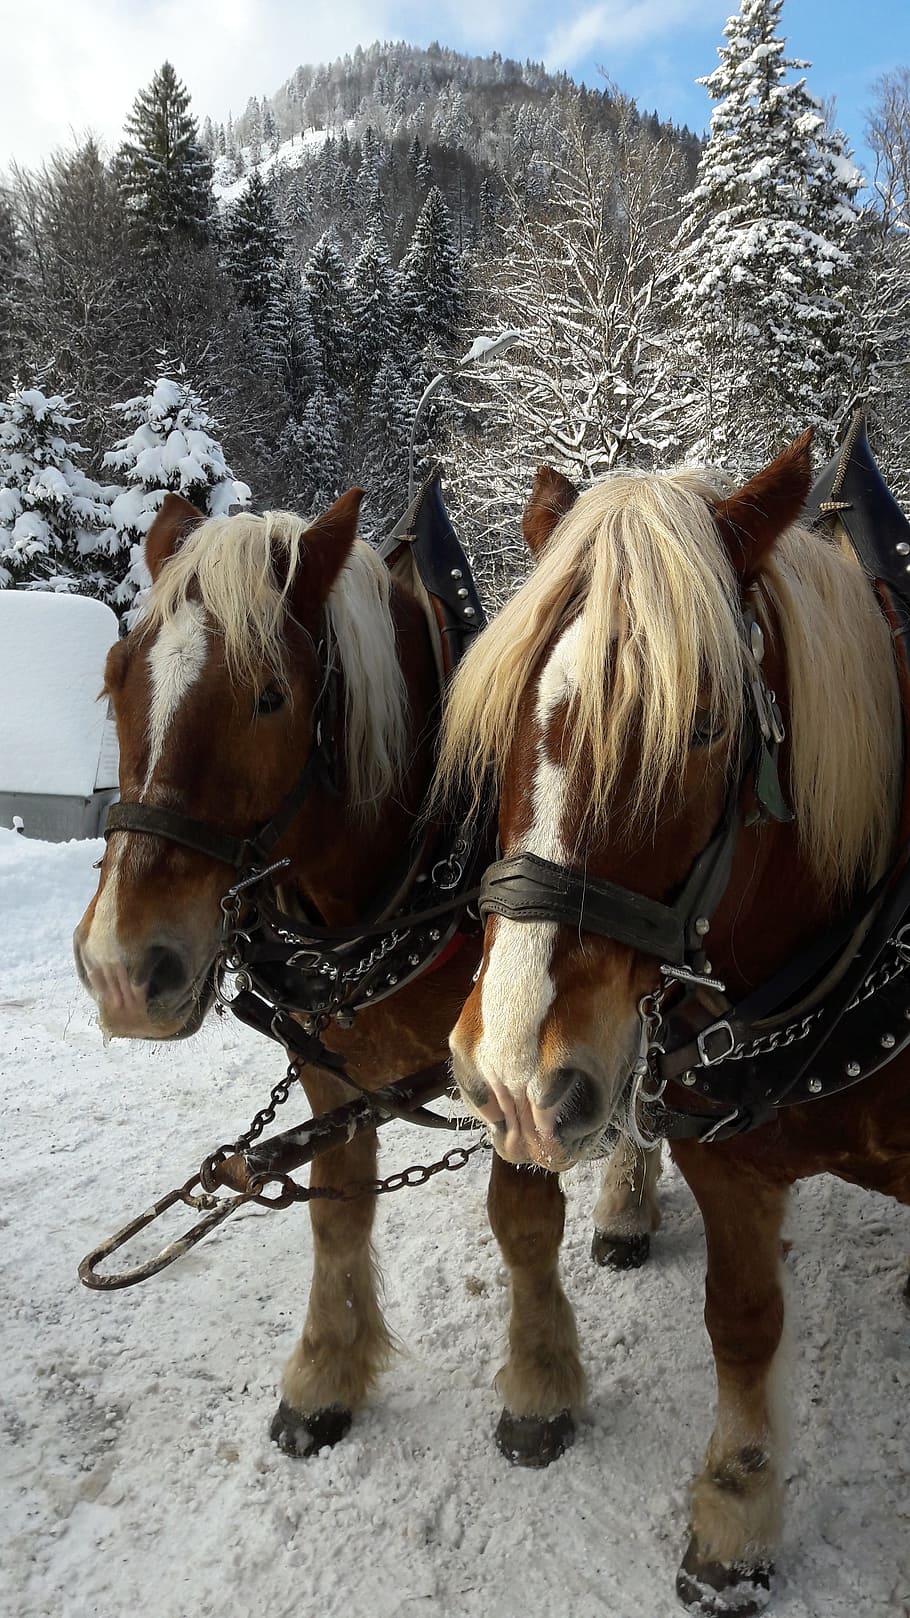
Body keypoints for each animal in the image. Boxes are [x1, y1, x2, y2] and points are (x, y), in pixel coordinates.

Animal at [436, 435, 910, 1613]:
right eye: (501, 718)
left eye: (700, 726)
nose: (509, 1073)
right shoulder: (726, 1160)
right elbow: (740, 1324)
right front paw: (736, 1511)